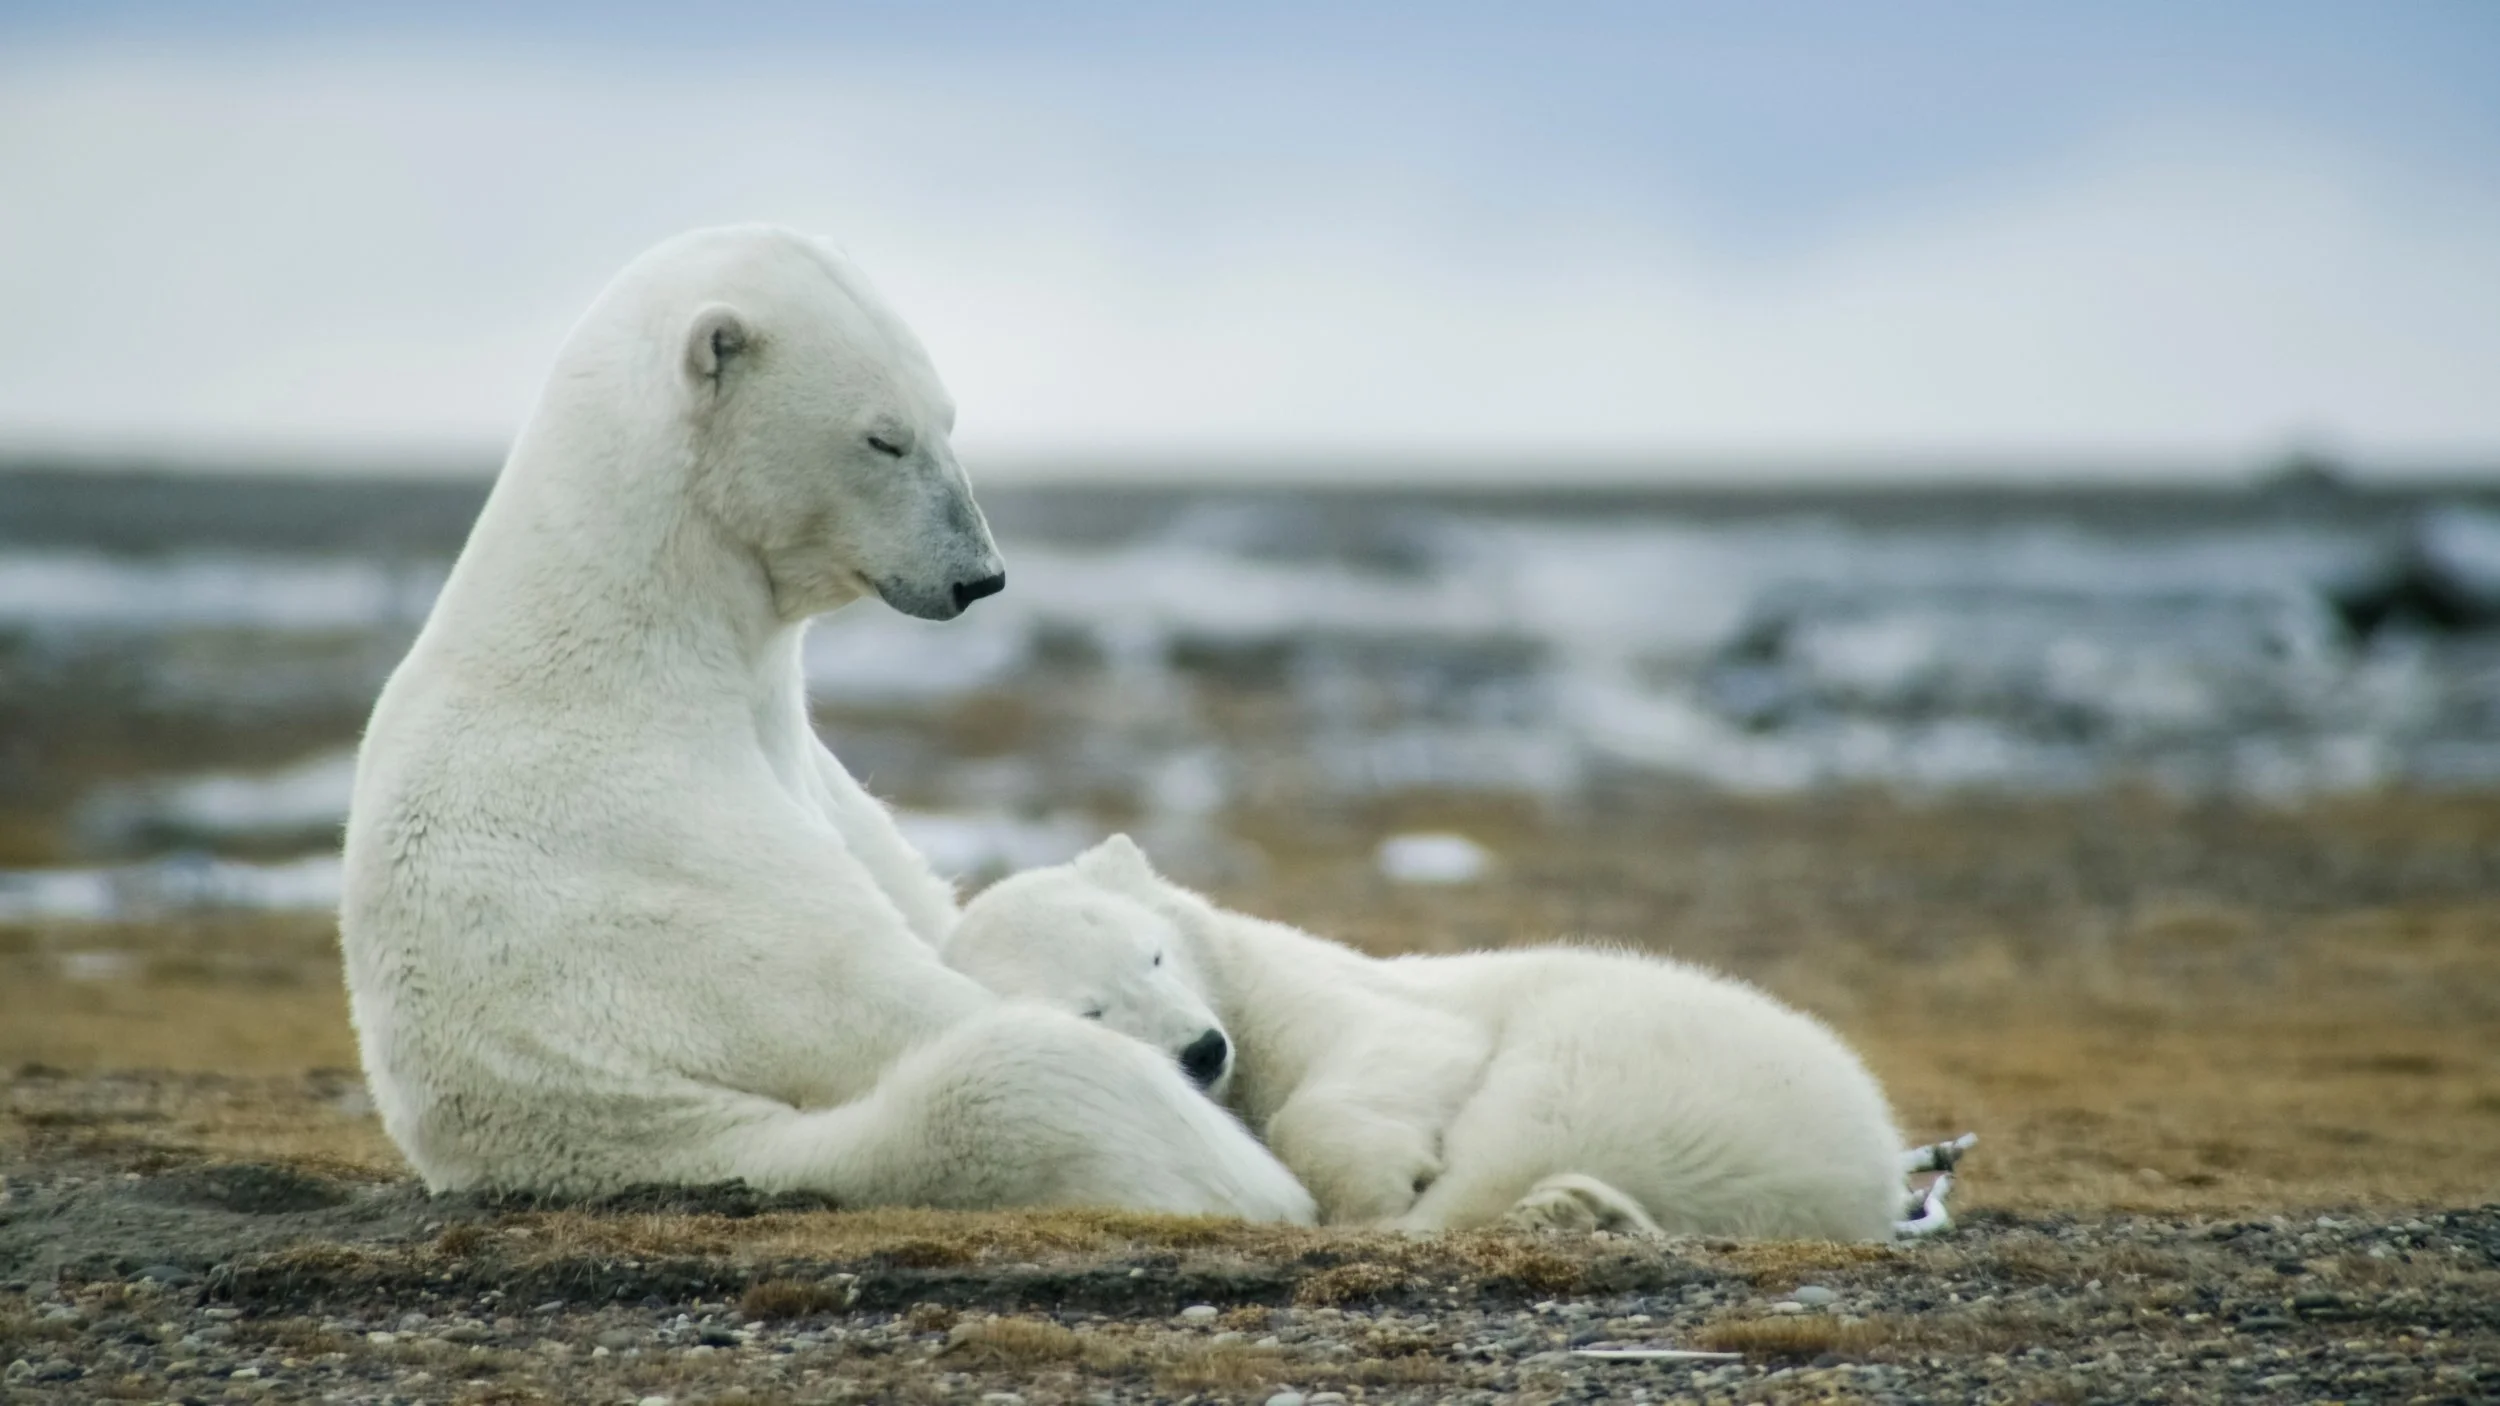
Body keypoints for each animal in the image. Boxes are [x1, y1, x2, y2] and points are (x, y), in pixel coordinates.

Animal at [338, 226, 1313, 1222]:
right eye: (883, 438)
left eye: (948, 418)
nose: (979, 576)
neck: (632, 640)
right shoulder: (661, 870)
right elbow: (876, 992)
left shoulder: (810, 777)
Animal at [946, 836, 1969, 1240]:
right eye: (1093, 1010)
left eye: (1153, 955)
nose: (1203, 1051)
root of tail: (1861, 1155)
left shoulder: (1298, 997)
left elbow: (1401, 1044)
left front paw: (1379, 1182)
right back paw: (1576, 1208)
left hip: (1627, 1049)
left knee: (1528, 1113)